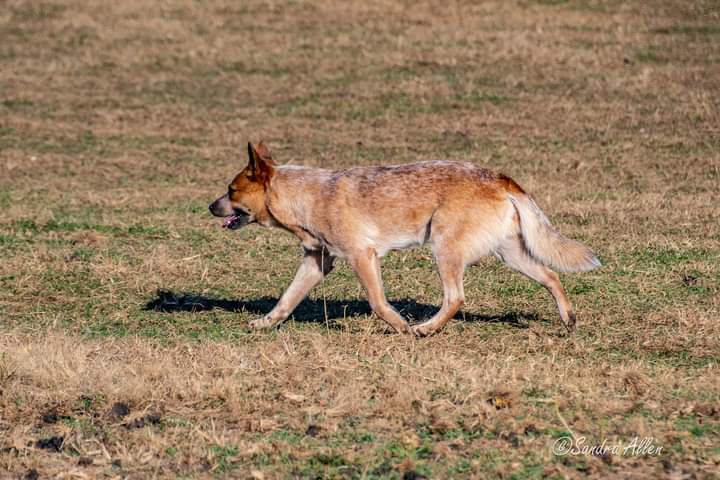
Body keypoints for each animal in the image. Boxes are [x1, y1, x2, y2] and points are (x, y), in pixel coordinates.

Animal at [209, 142, 600, 336]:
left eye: (231, 189)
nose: (209, 205)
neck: (306, 195)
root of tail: (499, 177)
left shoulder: (362, 256)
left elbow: (378, 303)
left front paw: (400, 327)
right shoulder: (316, 261)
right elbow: (286, 300)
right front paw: (264, 324)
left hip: (444, 248)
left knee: (455, 298)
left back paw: (425, 329)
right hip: (510, 254)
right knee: (551, 275)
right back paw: (568, 319)